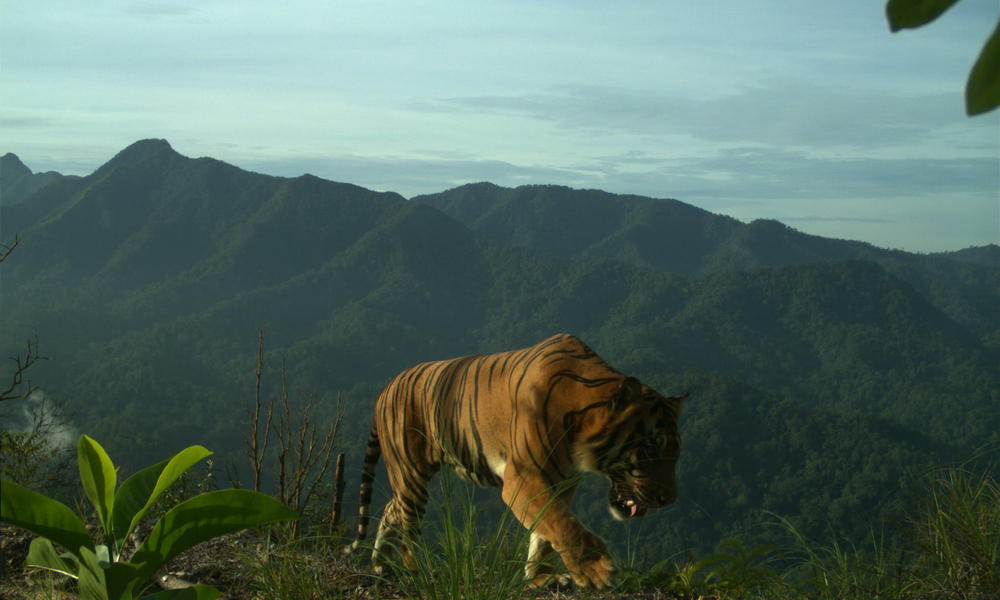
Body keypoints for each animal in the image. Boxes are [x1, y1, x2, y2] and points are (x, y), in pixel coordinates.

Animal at [346, 330, 688, 588]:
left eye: (676, 455)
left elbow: (546, 530)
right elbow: (561, 522)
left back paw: (380, 564)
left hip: (409, 479)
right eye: (650, 451)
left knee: (391, 510)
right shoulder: (523, 478)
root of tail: (386, 388)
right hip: (412, 472)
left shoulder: (563, 481)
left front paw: (542, 577)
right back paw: (416, 568)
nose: (668, 499)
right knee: (408, 527)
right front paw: (596, 571)